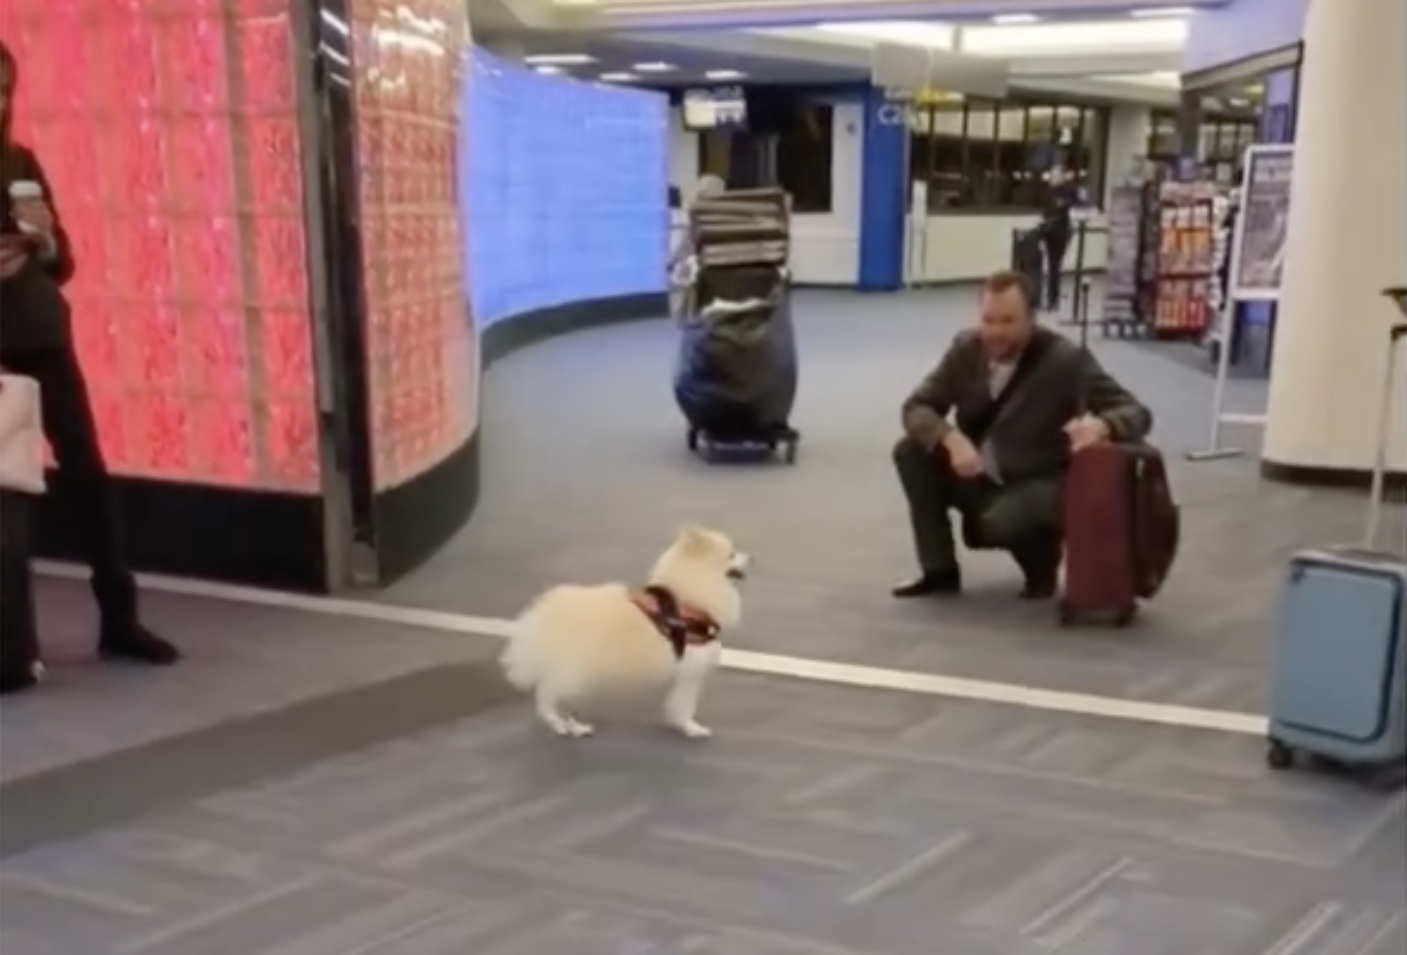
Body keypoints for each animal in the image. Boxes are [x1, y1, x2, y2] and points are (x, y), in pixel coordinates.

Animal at [503, 523, 754, 736]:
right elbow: (685, 706)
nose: (751, 557)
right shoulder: (689, 674)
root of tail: (542, 616)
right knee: (546, 695)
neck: (685, 603)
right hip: (574, 674)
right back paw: (559, 724)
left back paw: (573, 725)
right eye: (732, 554)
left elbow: (674, 704)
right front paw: (691, 728)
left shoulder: (681, 676)